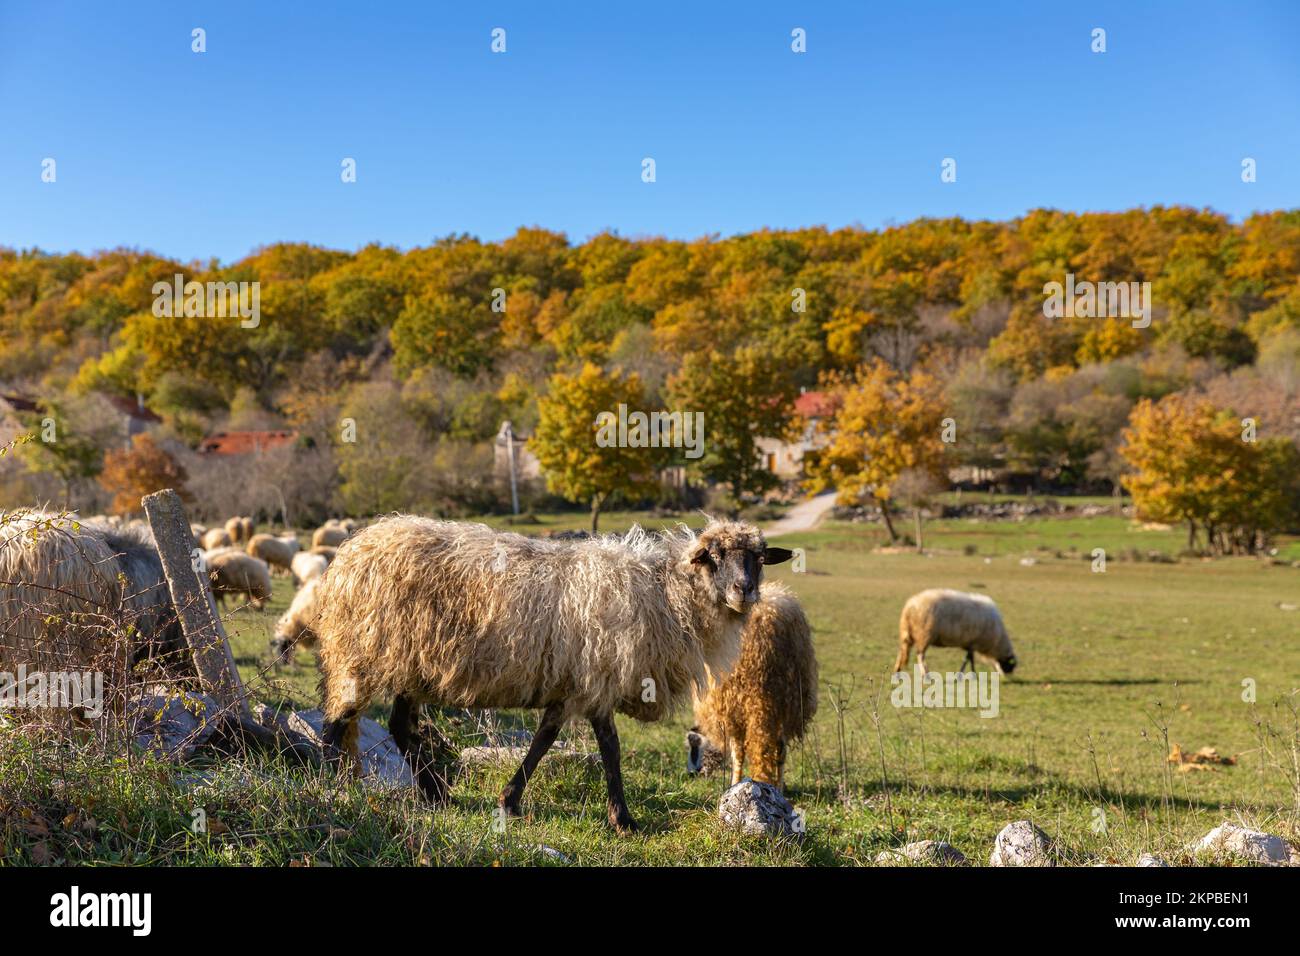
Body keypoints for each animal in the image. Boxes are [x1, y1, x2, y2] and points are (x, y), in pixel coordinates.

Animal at [314, 512, 790, 832]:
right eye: (714, 556)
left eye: (760, 558)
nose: (744, 591)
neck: (667, 596)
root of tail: (352, 553)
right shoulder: (595, 679)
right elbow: (596, 747)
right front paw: (621, 819)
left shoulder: (581, 685)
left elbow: (557, 742)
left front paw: (513, 801)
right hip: (366, 653)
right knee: (337, 722)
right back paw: (335, 787)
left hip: (412, 666)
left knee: (400, 726)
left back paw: (435, 793)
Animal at [686, 582, 816, 790]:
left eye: (695, 746)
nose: (690, 773)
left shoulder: (729, 712)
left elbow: (737, 754)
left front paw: (734, 783)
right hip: (788, 700)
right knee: (781, 749)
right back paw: (778, 786)